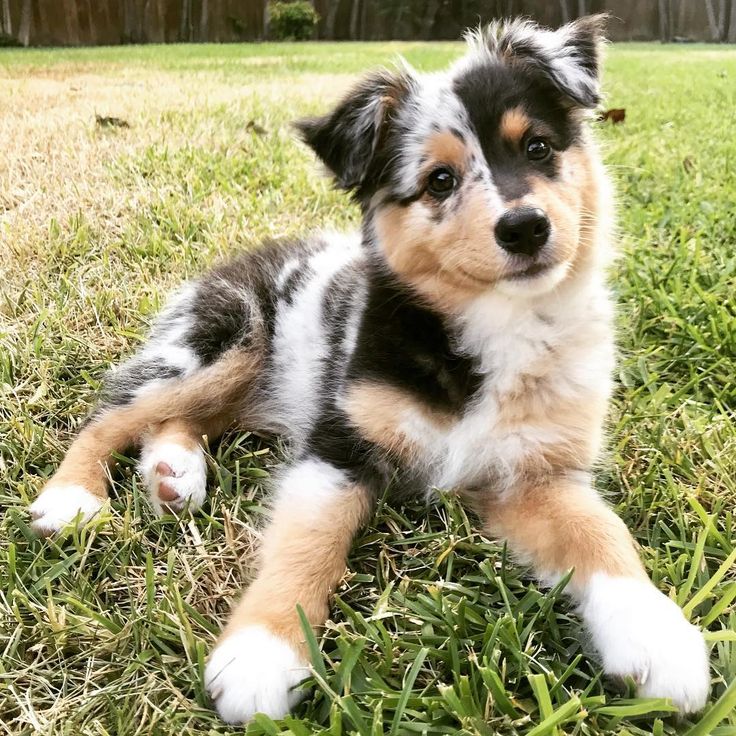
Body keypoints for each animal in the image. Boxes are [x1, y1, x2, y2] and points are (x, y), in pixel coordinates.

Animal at [27, 15, 708, 724]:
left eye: (540, 147)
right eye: (439, 181)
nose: (525, 228)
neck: (494, 327)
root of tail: (237, 259)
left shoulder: (534, 473)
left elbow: (601, 534)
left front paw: (658, 637)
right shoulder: (339, 444)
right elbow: (307, 542)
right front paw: (262, 651)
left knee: (183, 418)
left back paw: (172, 473)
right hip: (226, 339)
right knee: (114, 412)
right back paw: (74, 498)